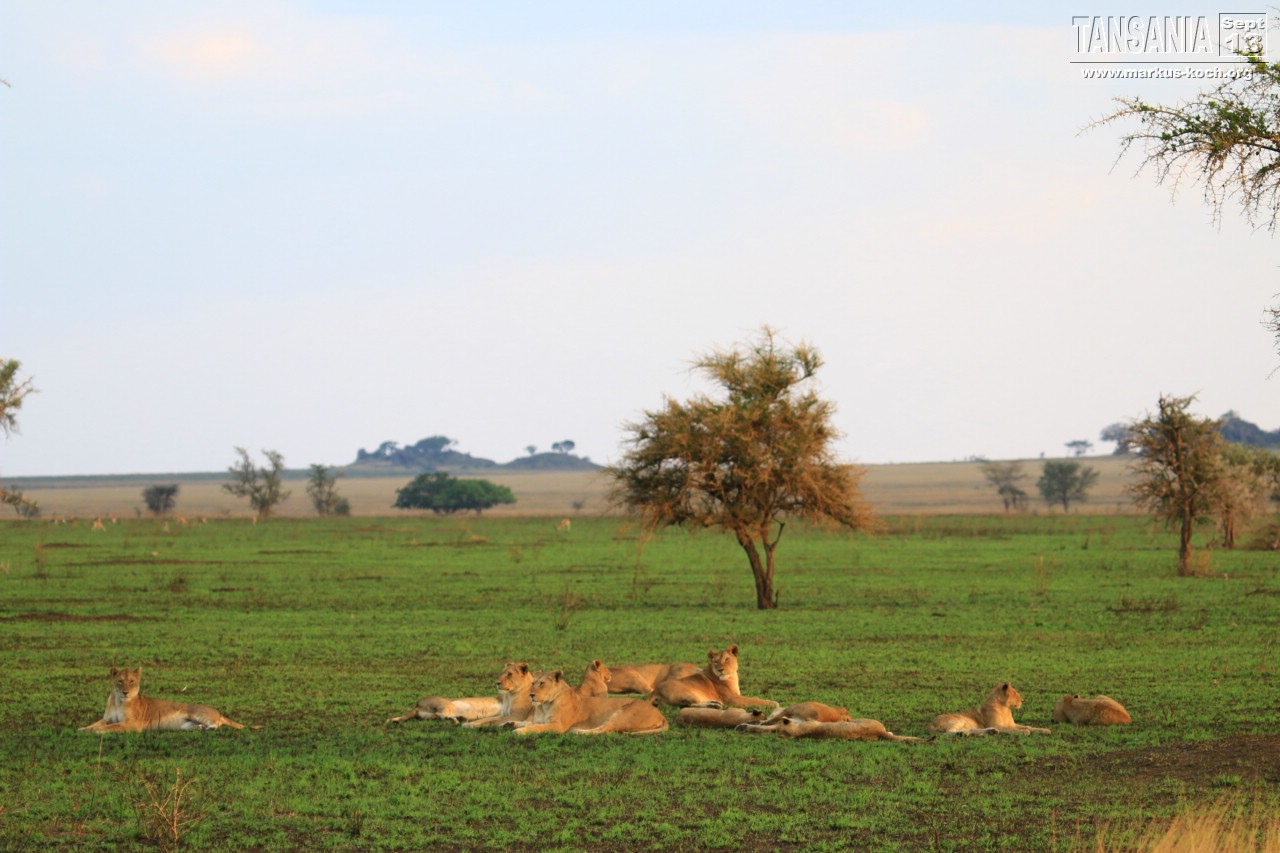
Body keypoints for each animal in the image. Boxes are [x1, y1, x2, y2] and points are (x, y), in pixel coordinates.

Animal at [80, 666, 247, 733]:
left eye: (132, 681)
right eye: (120, 681)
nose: (125, 692)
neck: (118, 701)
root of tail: (218, 712)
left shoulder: (133, 724)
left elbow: (112, 727)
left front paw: (97, 731)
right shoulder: (107, 718)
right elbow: (96, 724)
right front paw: (84, 729)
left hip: (198, 714)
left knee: (217, 724)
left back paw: (208, 727)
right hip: (185, 726)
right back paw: (200, 728)